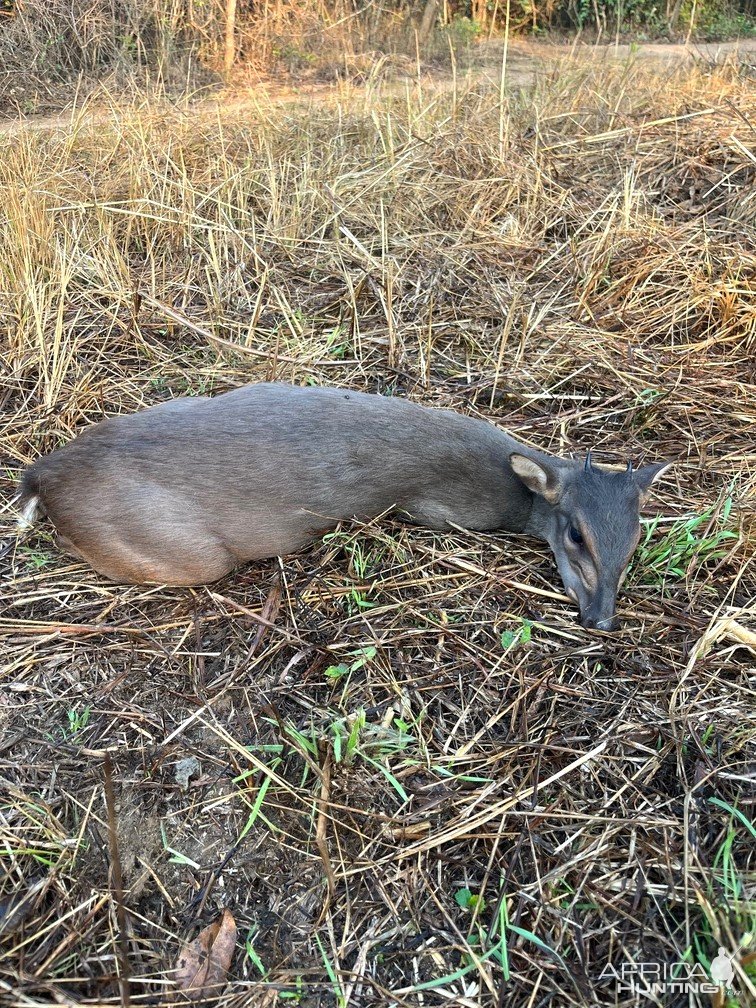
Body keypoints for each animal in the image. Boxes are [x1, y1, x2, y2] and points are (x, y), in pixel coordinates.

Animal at [16, 381, 669, 624]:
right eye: (576, 532)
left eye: (636, 536)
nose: (601, 617)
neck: (509, 488)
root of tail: (43, 472)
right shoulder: (439, 509)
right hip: (185, 551)